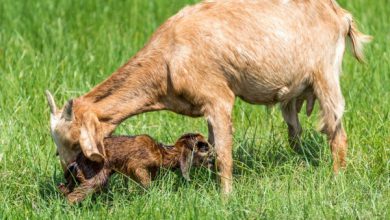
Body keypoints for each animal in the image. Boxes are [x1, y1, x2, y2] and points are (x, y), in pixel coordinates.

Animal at [44, 0, 370, 194]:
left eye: (75, 143)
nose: (71, 174)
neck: (168, 58)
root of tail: (340, 14)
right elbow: (212, 151)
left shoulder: (219, 99)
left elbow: (224, 155)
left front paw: (226, 198)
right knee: (298, 133)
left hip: (326, 76)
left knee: (337, 133)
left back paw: (336, 180)